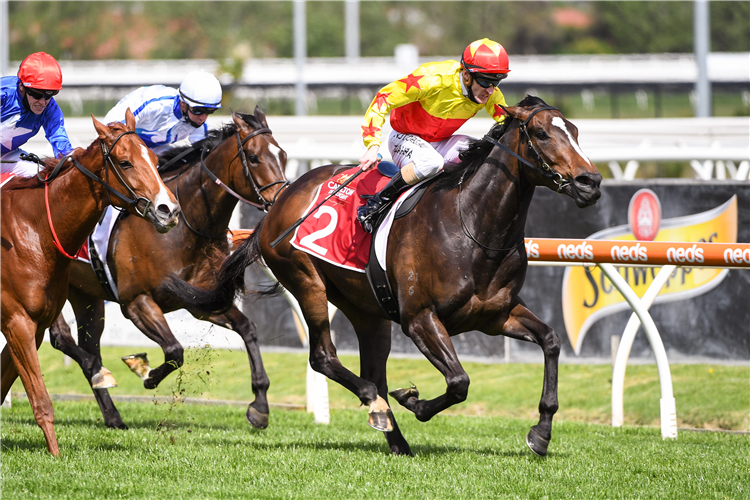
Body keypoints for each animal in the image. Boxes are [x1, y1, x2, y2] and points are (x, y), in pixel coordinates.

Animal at [0, 110, 181, 458]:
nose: (169, 211)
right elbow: (40, 398)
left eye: (155, 159)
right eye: (124, 162)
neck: (33, 230)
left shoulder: (33, 325)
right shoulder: (17, 322)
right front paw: (55, 455)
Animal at [46, 108, 288, 430]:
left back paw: (111, 412)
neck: (186, 226)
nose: (281, 201)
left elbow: (248, 329)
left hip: (86, 294)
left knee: (89, 343)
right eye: (254, 157)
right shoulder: (137, 302)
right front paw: (145, 373)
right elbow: (175, 350)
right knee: (64, 338)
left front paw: (259, 406)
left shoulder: (201, 301)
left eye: (283, 154)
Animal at [167, 94, 604, 458]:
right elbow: (459, 381)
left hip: (368, 310)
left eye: (577, 131)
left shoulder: (497, 315)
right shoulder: (420, 318)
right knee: (326, 358)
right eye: (542, 133)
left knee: (372, 372)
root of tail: (280, 200)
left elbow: (550, 340)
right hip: (307, 281)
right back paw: (377, 409)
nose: (591, 182)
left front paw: (541, 433)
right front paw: (415, 402)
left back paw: (397, 441)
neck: (472, 224)